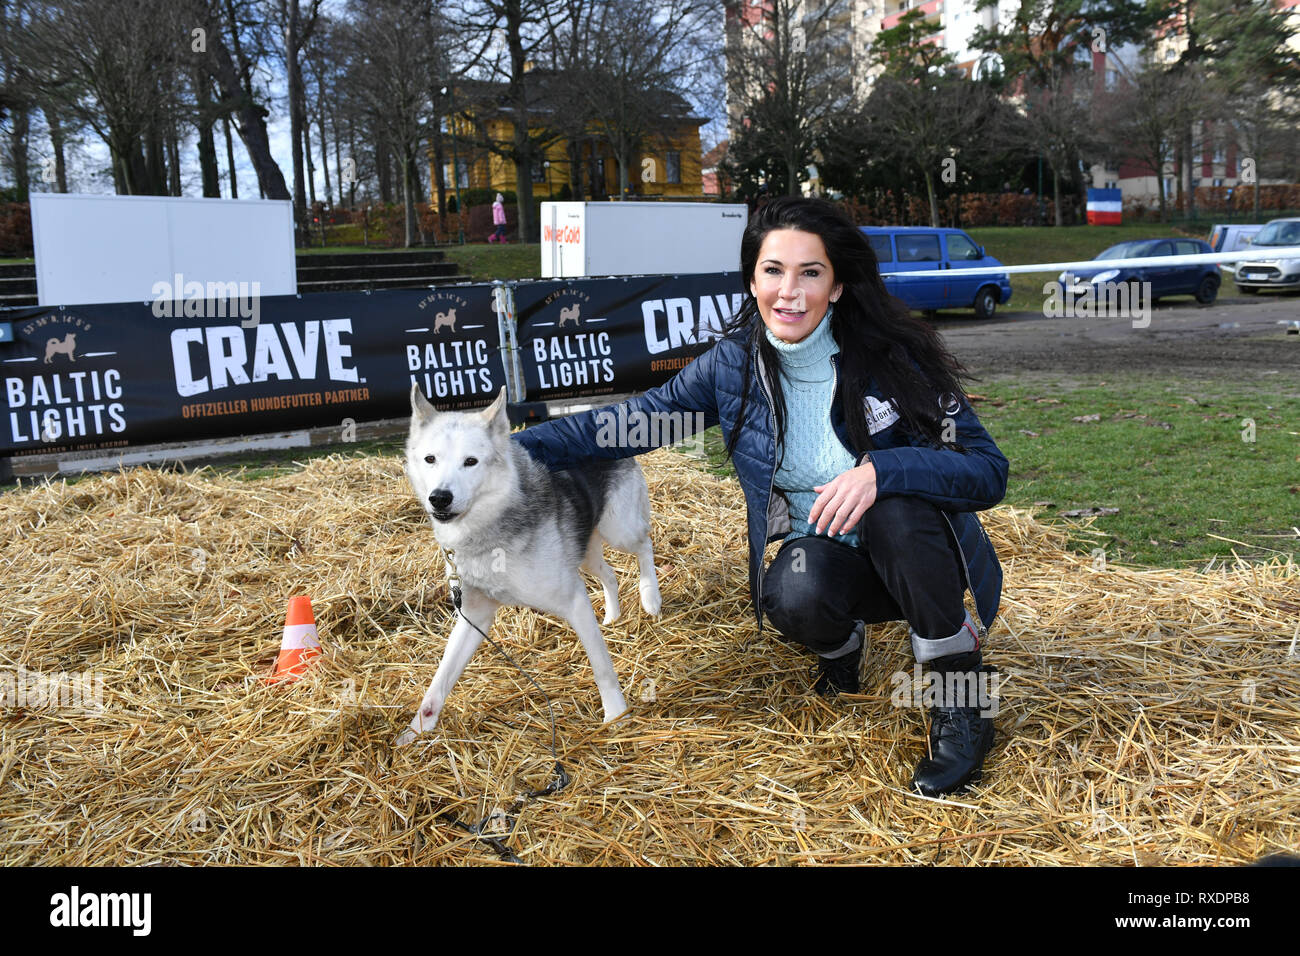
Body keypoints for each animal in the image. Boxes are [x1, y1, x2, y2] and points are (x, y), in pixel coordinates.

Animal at [392, 382, 660, 749]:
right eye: (430, 459)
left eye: (471, 462)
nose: (439, 498)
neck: (488, 529)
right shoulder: (474, 615)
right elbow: (439, 681)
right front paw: (418, 729)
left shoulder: (574, 600)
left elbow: (602, 667)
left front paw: (616, 716)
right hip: (587, 553)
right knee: (610, 575)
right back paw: (612, 616)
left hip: (619, 530)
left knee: (645, 543)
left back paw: (651, 597)